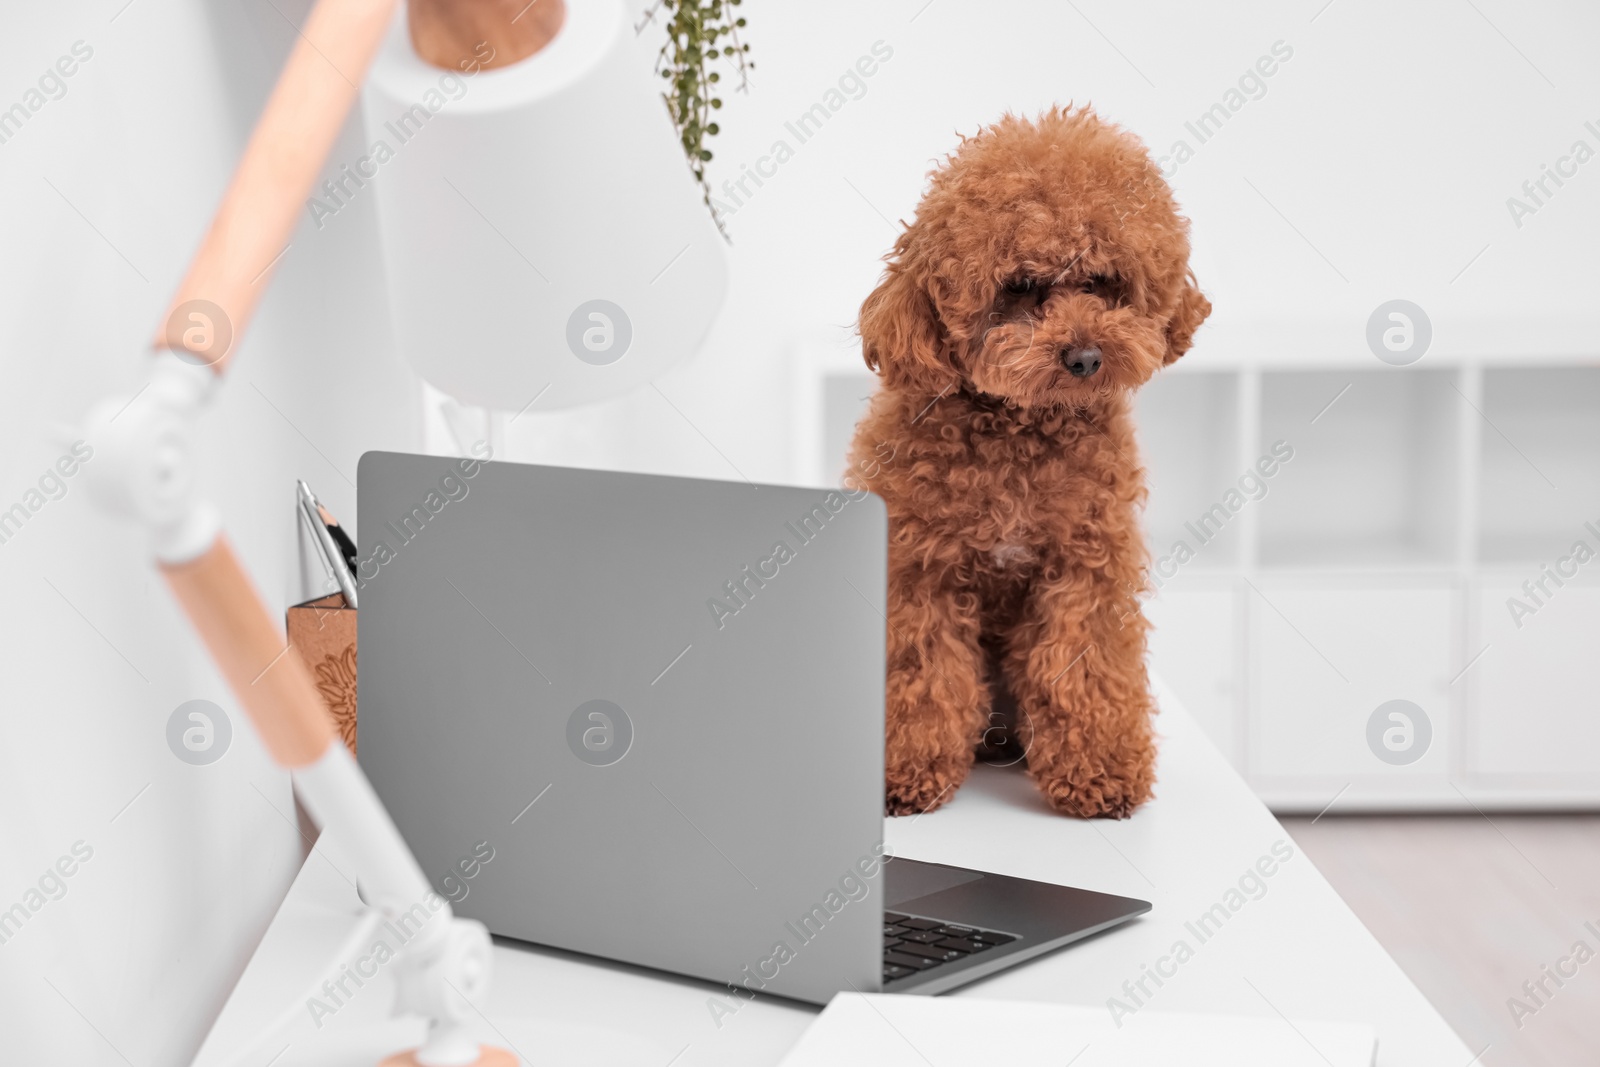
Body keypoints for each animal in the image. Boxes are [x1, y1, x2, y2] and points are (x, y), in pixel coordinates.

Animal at [851, 106, 1203, 819]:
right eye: (1020, 287)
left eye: (1104, 283)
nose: (1086, 357)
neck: (1020, 431)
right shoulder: (917, 573)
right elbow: (920, 674)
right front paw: (904, 774)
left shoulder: (1087, 567)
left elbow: (1085, 667)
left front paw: (1099, 774)